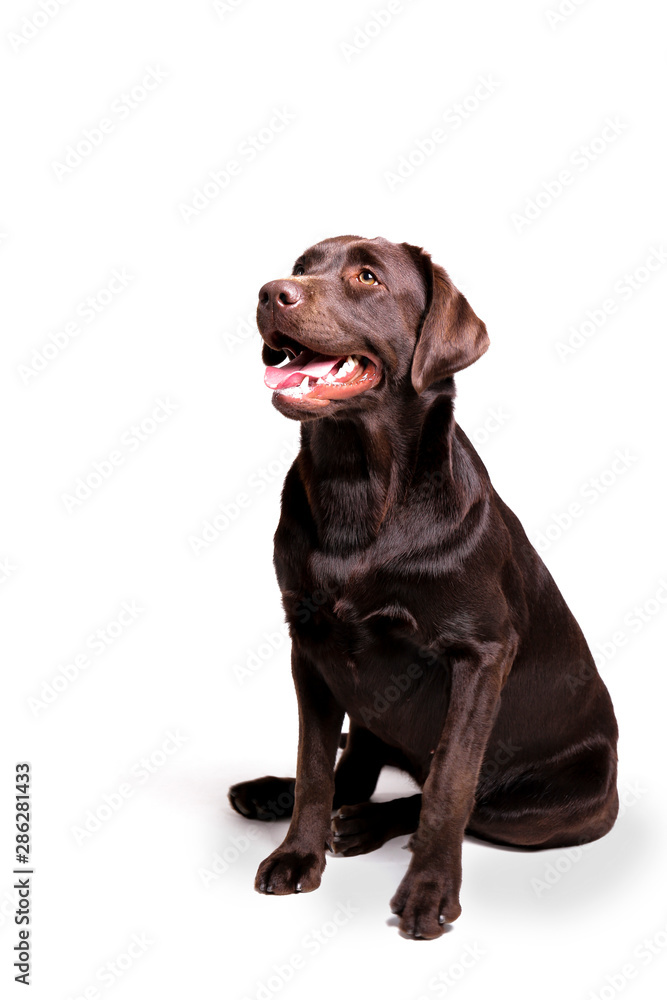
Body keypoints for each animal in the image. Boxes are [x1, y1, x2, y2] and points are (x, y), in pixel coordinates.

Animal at [227, 238, 620, 940]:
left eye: (367, 277)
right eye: (300, 267)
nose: (273, 292)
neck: (357, 484)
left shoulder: (480, 655)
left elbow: (449, 785)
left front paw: (431, 891)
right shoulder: (308, 643)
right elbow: (313, 764)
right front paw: (298, 853)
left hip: (567, 800)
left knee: (462, 799)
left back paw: (365, 825)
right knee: (353, 766)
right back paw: (276, 795)